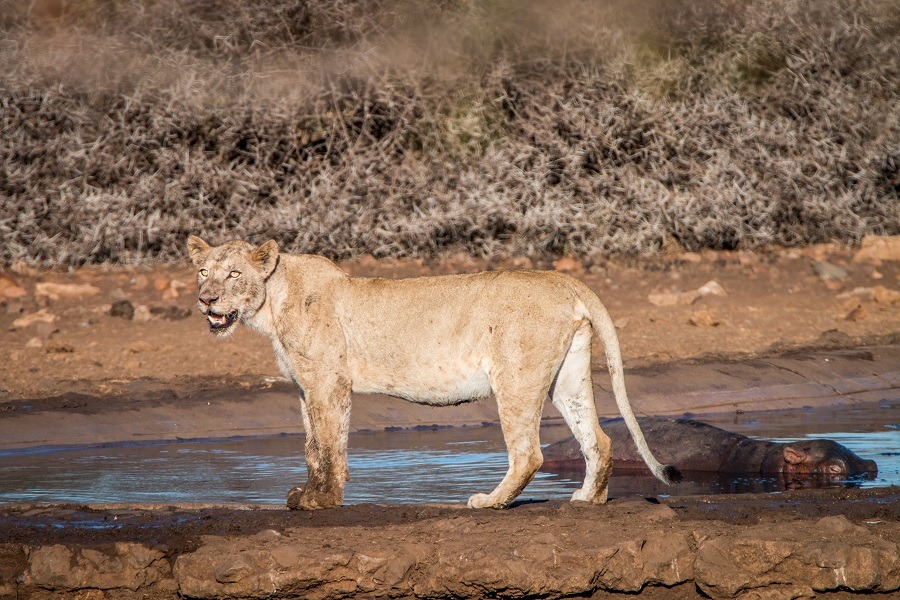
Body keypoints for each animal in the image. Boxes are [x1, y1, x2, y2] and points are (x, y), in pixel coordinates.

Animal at [190, 237, 684, 508]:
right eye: (203, 272)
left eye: (233, 274)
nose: (205, 300)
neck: (272, 304)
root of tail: (564, 280)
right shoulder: (304, 386)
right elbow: (312, 446)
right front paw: (307, 496)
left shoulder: (328, 382)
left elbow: (330, 446)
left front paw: (322, 502)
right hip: (566, 377)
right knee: (598, 439)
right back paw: (587, 498)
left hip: (516, 376)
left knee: (529, 453)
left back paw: (489, 502)